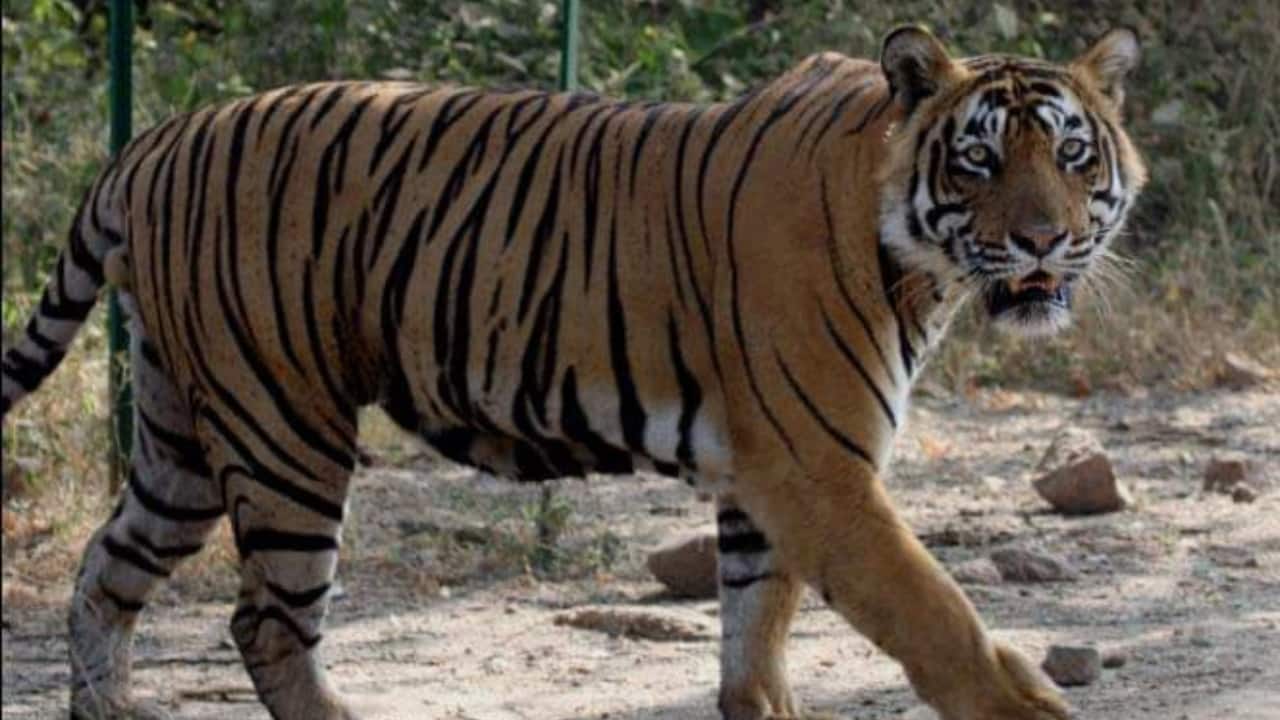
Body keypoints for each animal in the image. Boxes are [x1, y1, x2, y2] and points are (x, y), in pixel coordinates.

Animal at [0, 23, 1145, 720]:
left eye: (1072, 155)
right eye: (978, 159)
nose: (1043, 242)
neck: (917, 263)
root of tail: (150, 141)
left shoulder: (769, 478)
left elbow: (754, 635)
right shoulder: (816, 469)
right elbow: (932, 616)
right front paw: (1028, 706)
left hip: (180, 435)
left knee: (104, 571)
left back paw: (106, 705)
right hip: (283, 424)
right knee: (264, 623)